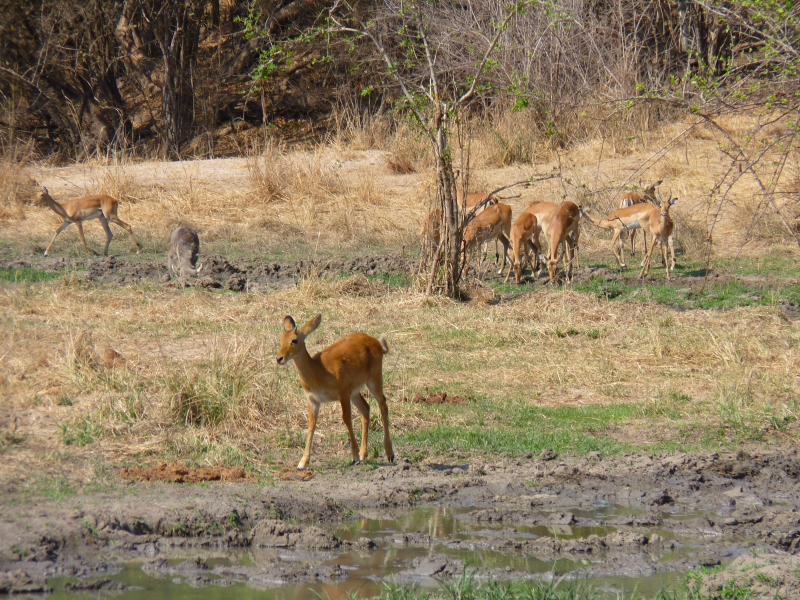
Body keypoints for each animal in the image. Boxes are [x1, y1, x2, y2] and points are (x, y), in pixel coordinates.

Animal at [276, 315, 394, 471]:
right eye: (281, 338)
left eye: (294, 340)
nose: (279, 358)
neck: (319, 371)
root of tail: (377, 343)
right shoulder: (313, 400)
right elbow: (311, 425)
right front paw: (302, 463)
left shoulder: (343, 394)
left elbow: (346, 419)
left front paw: (354, 457)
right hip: (355, 393)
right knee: (366, 409)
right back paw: (364, 454)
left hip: (374, 381)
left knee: (383, 405)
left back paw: (389, 454)